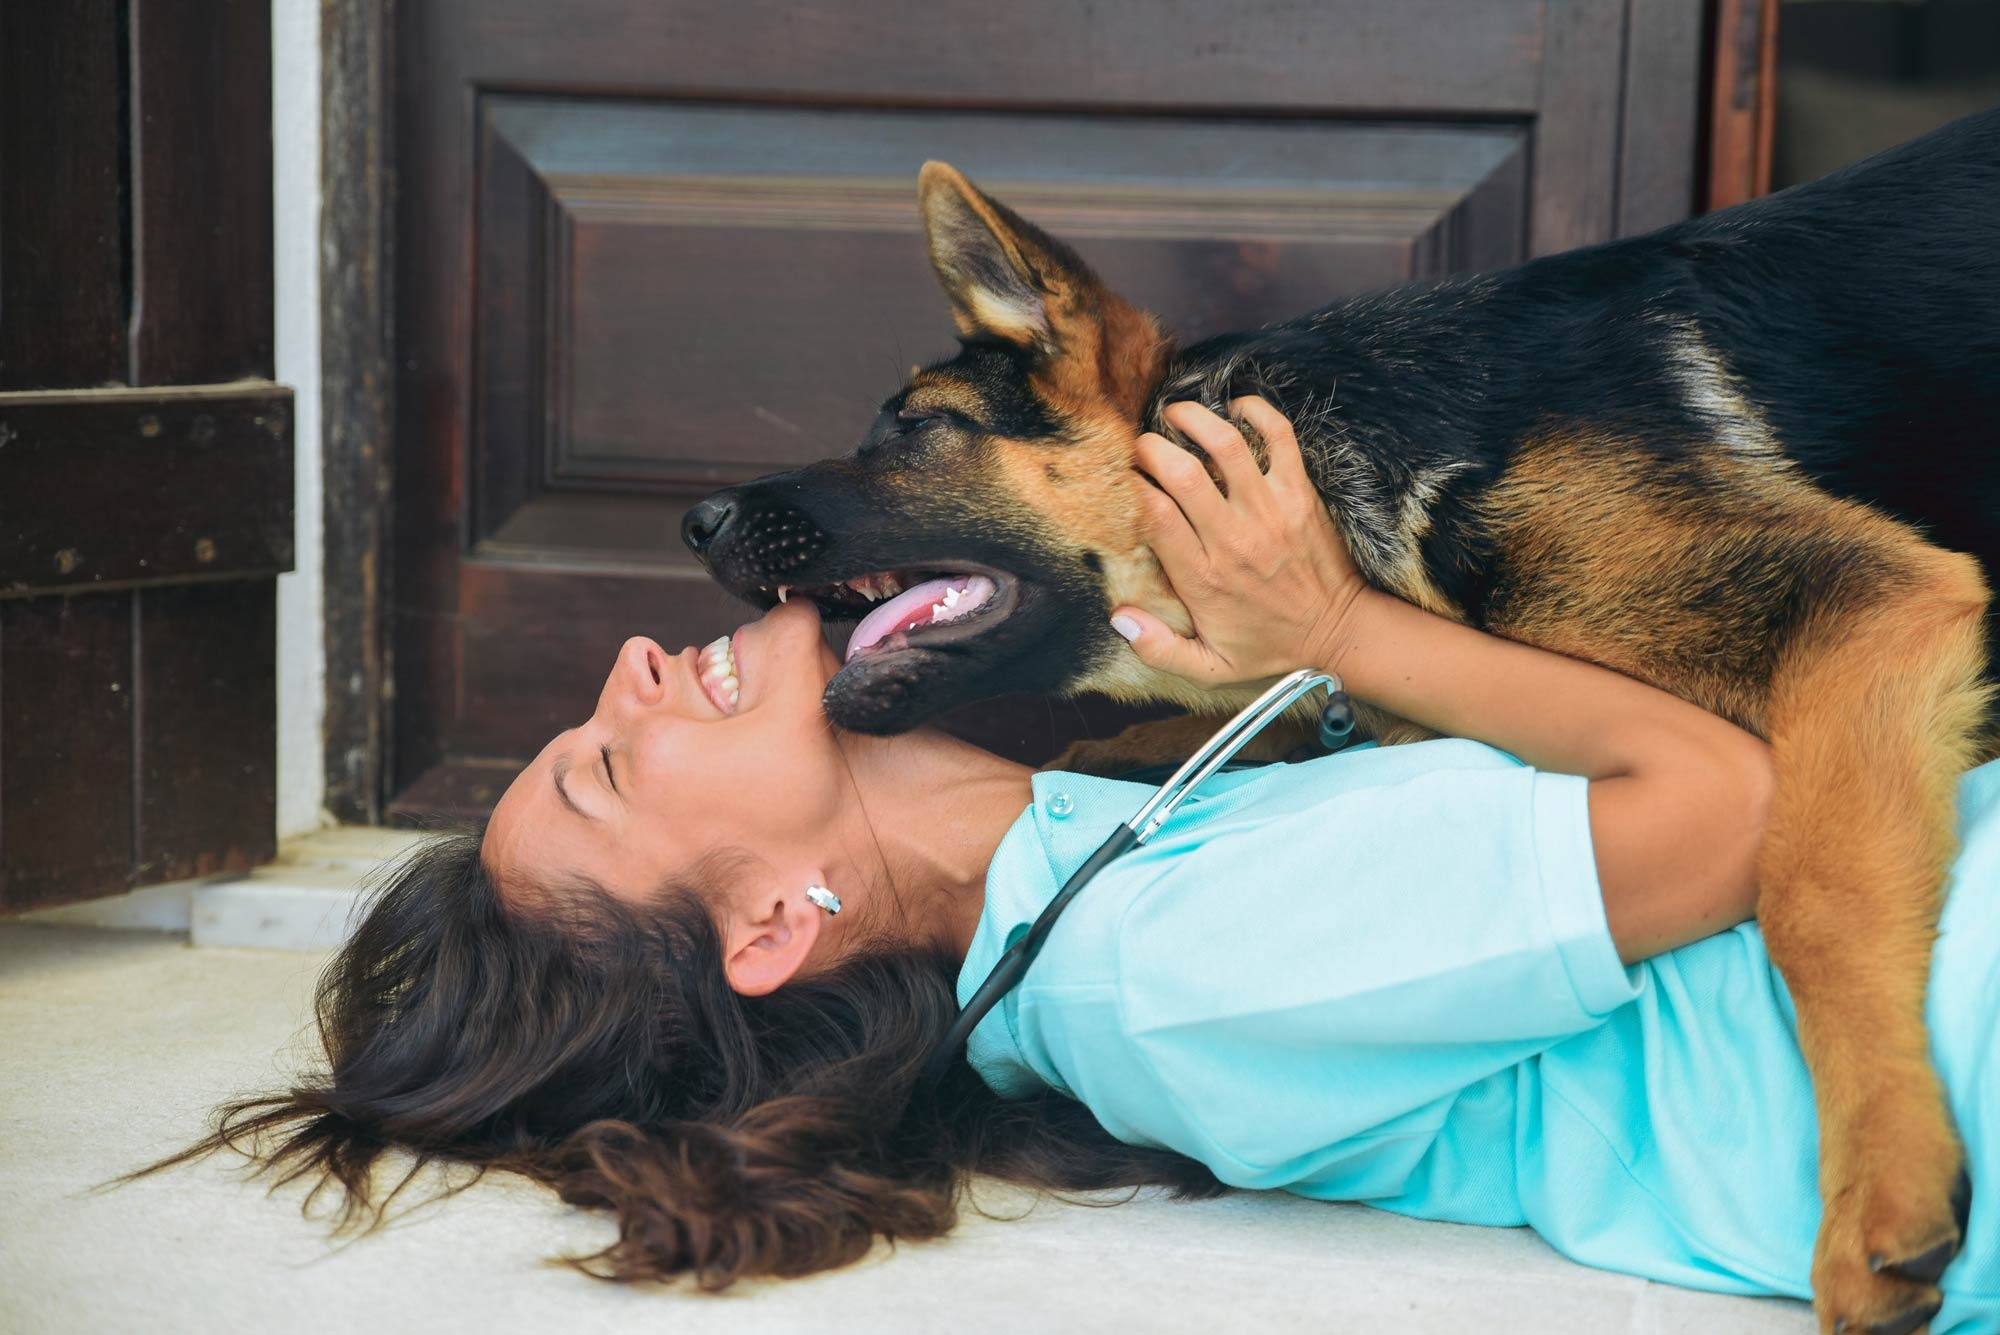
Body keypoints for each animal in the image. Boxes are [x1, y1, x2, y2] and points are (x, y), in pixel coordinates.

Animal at [680, 109, 1992, 1327]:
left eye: (915, 427)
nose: (693, 520)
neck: (1326, 451)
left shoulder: (1861, 605)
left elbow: (1811, 895)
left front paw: (1878, 1181)